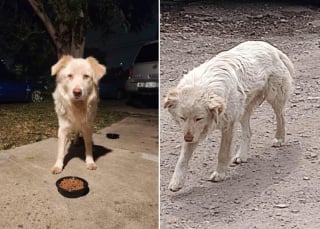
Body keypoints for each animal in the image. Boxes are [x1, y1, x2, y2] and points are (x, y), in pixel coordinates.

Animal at [166, 41, 294, 191]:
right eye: (182, 118)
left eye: (199, 118)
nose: (187, 138)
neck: (203, 85)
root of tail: (271, 47)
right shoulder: (193, 131)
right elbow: (183, 158)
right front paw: (177, 181)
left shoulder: (227, 125)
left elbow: (222, 153)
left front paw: (219, 173)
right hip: (244, 109)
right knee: (248, 132)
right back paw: (242, 155)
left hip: (275, 97)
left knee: (281, 118)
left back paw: (279, 138)